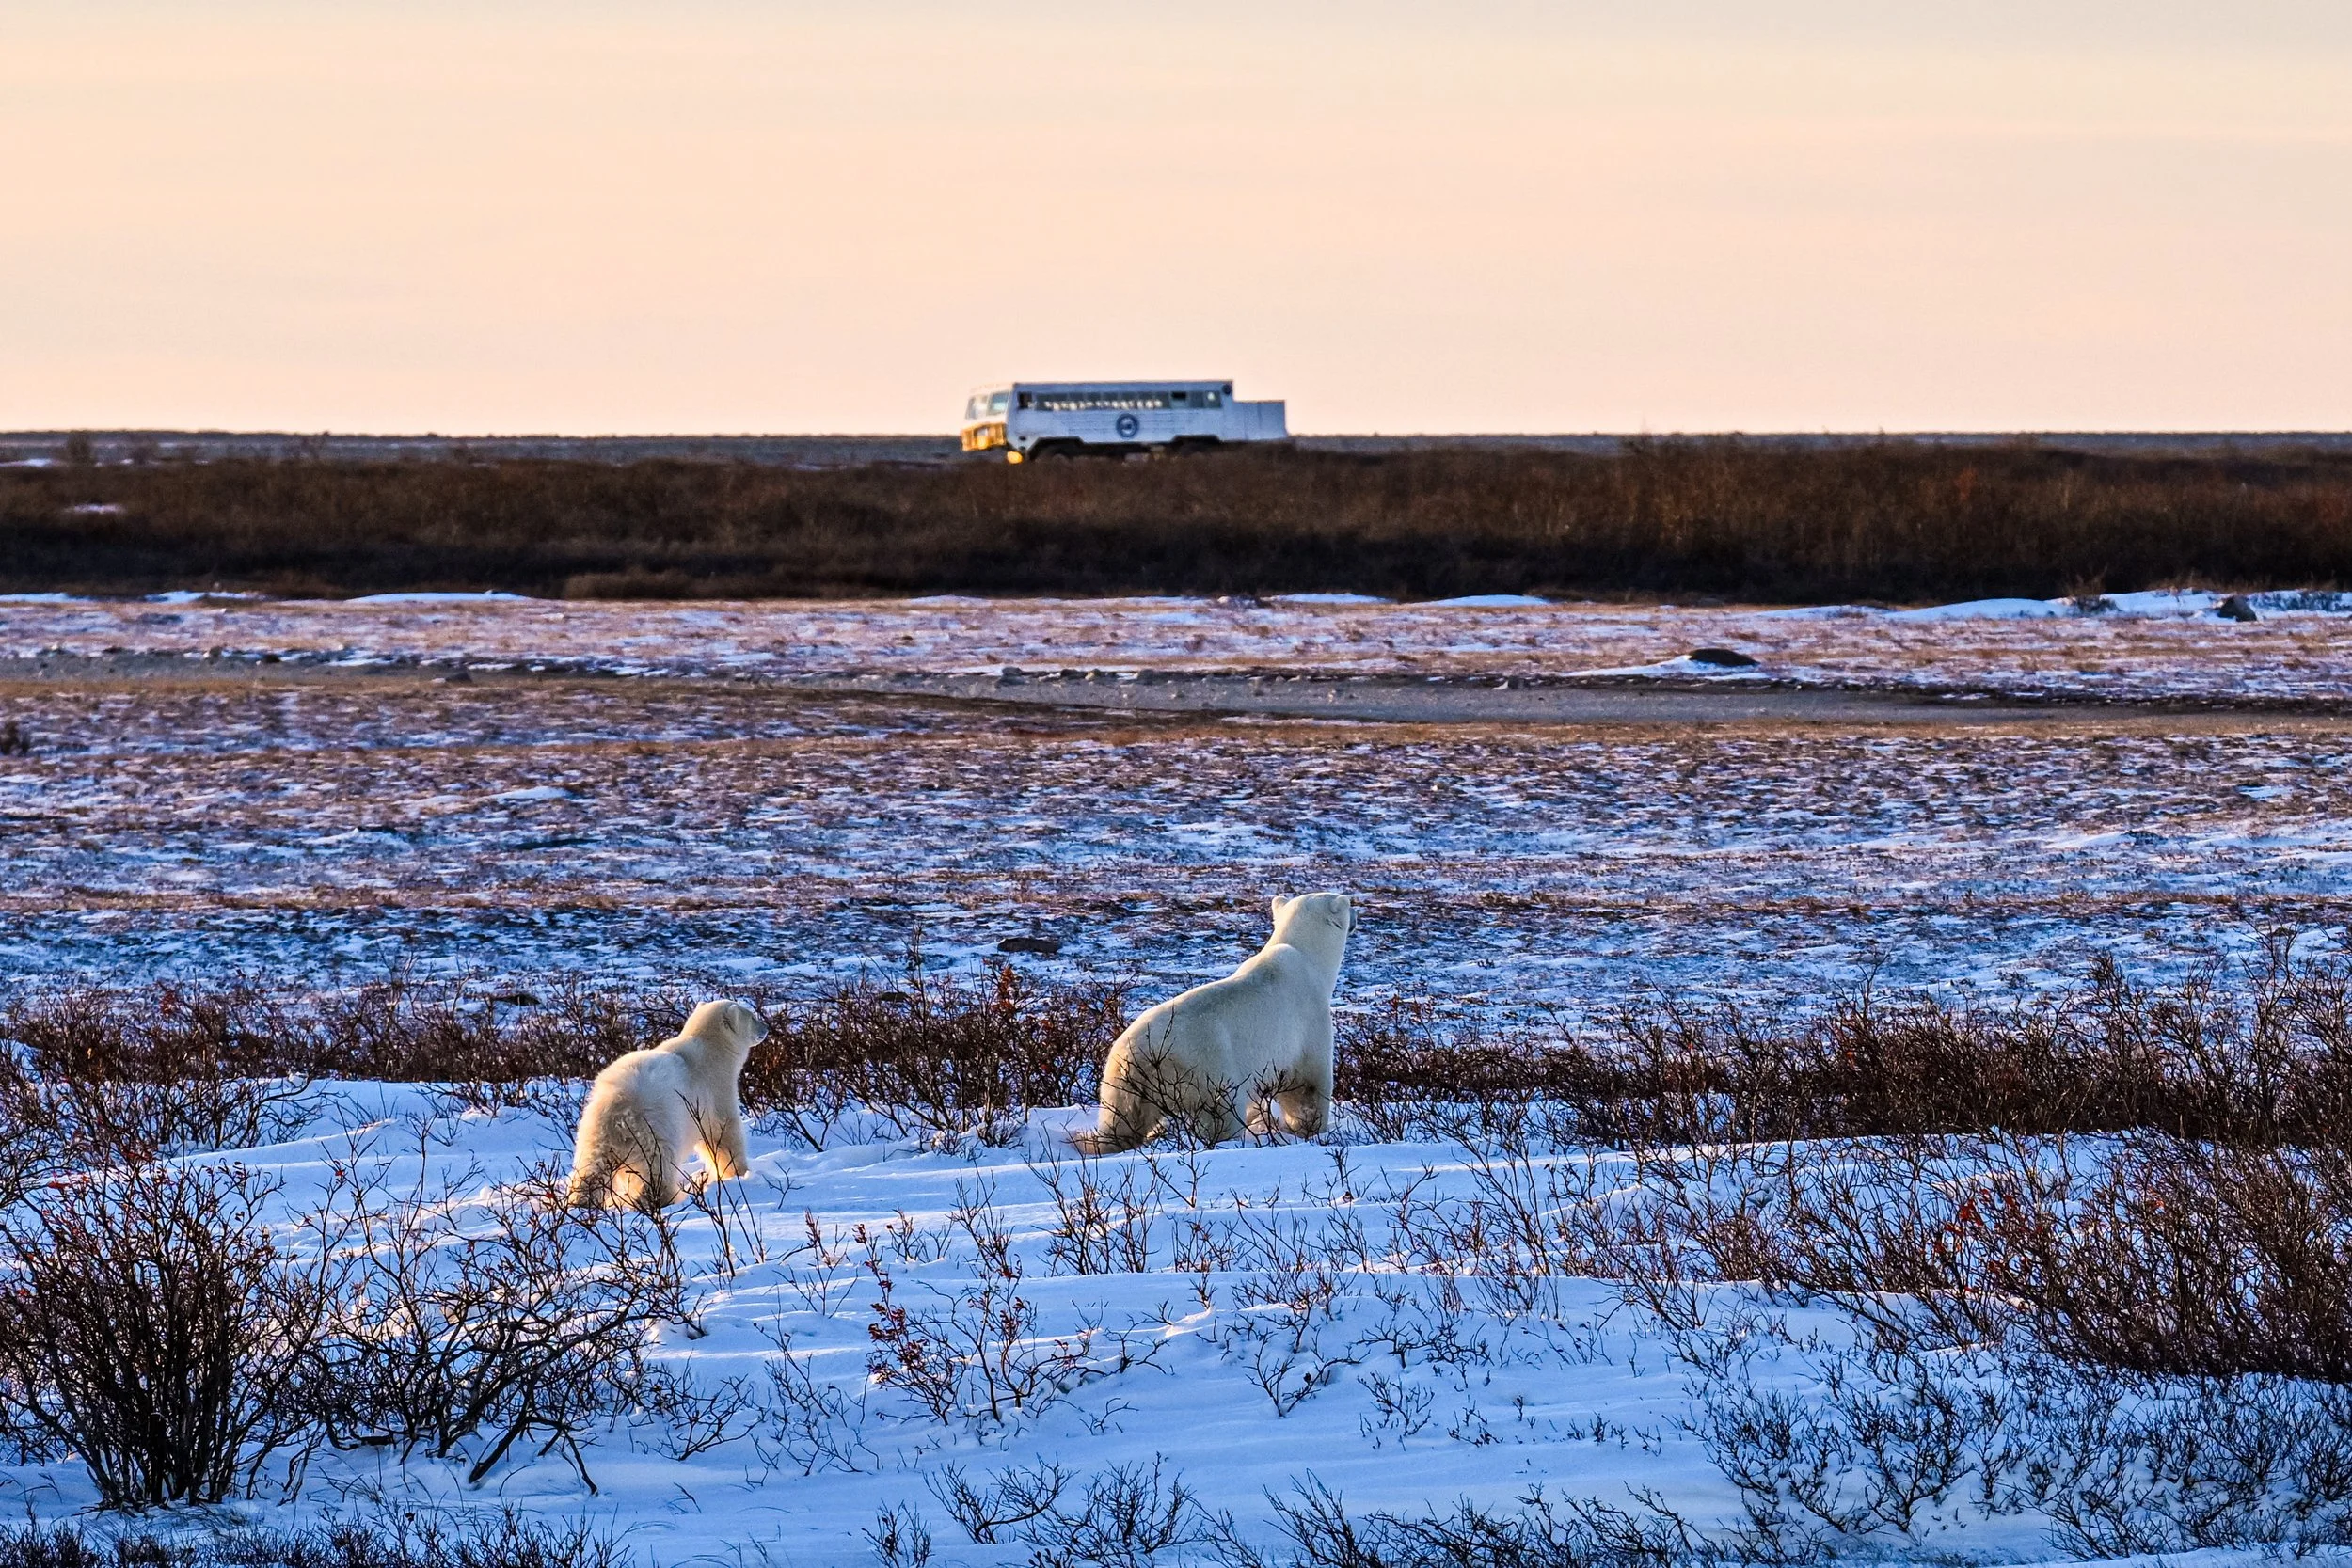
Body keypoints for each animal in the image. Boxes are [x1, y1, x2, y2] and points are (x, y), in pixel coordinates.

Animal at [566, 998, 767, 1212]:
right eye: (752, 1016)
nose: (767, 1027)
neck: (711, 1049)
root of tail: (619, 1108)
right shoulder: (715, 1090)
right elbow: (725, 1132)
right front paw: (739, 1173)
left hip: (594, 1129)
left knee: (591, 1165)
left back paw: (582, 1201)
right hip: (655, 1126)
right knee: (658, 1165)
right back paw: (664, 1197)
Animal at [1072, 891, 1355, 1154]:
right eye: (1349, 905)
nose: (1356, 916)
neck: (1305, 957)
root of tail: (1141, 1053)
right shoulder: (1307, 1020)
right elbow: (1307, 1084)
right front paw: (1310, 1129)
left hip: (1121, 1081)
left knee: (1121, 1121)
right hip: (1208, 1070)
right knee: (1222, 1115)